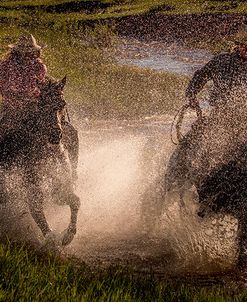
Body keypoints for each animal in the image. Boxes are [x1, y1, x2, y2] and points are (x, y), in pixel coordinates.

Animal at [0, 76, 80, 247]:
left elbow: (75, 201)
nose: (55, 134)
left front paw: (68, 235)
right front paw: (51, 240)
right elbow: (36, 210)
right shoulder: (31, 185)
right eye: (42, 104)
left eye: (62, 103)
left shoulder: (58, 186)